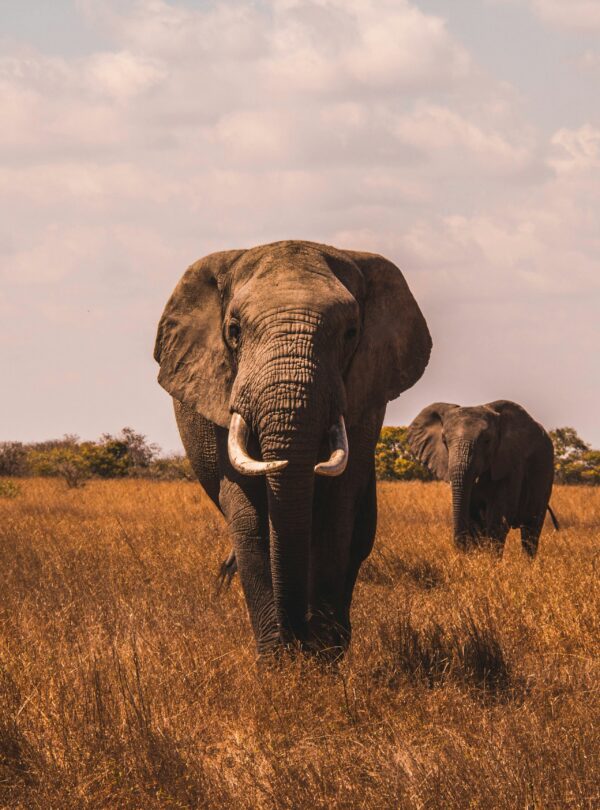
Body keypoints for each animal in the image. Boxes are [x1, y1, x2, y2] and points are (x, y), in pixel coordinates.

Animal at [155, 240, 431, 657]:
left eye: (351, 332)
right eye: (234, 331)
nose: (297, 637)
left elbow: (336, 513)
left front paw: (322, 657)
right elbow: (250, 518)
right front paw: (278, 661)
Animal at [408, 400, 557, 557]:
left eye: (487, 441)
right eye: (444, 441)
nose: (460, 551)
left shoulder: (511, 464)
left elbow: (499, 517)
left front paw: (490, 561)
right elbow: (474, 519)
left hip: (546, 474)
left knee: (531, 530)